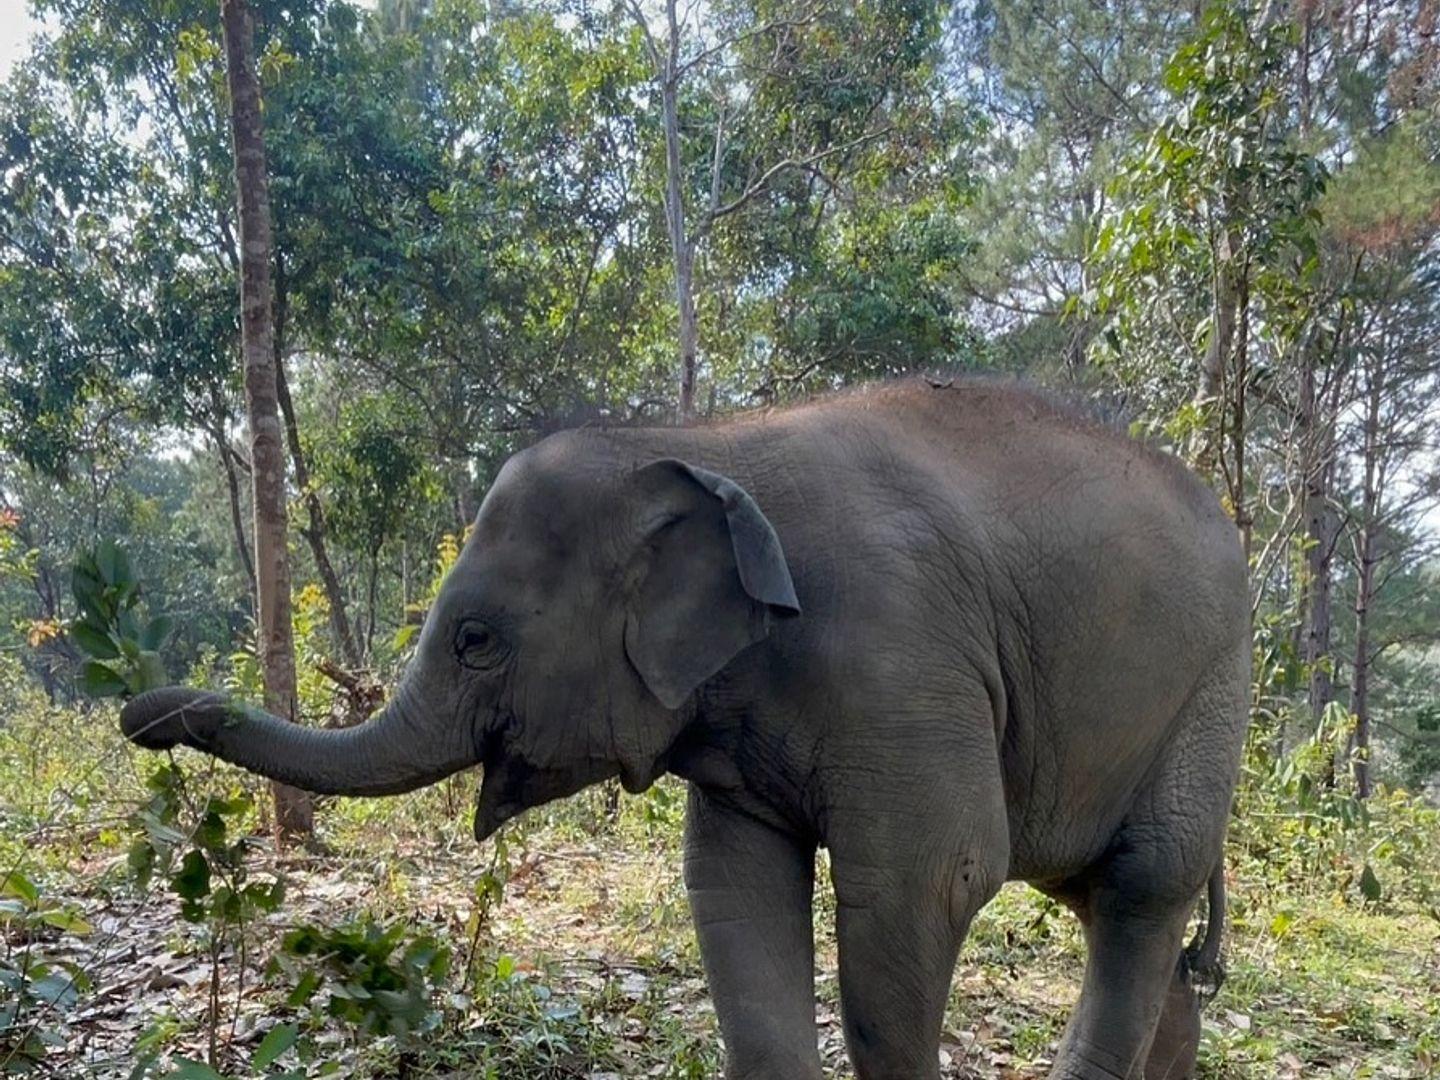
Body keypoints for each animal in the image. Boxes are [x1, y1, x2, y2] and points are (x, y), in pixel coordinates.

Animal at [120, 378, 1247, 1080]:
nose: (144, 716)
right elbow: (734, 887)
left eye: (477, 640)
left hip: (1213, 688)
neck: (698, 442)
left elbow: (933, 877)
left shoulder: (904, 659)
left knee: (1144, 886)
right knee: (1109, 900)